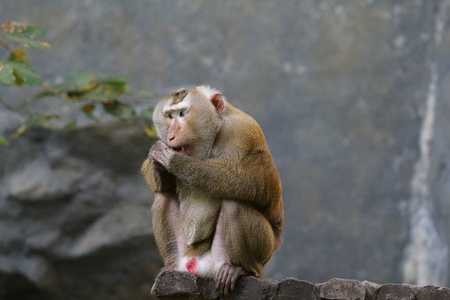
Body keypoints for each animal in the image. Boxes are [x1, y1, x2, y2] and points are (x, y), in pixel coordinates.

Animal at [141, 86, 284, 296]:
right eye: (169, 116)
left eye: (183, 114)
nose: (171, 136)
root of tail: (198, 266)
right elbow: (161, 185)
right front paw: (158, 163)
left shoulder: (241, 130)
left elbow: (253, 181)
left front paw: (174, 161)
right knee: (163, 198)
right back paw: (170, 269)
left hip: (264, 249)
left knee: (235, 203)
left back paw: (240, 269)